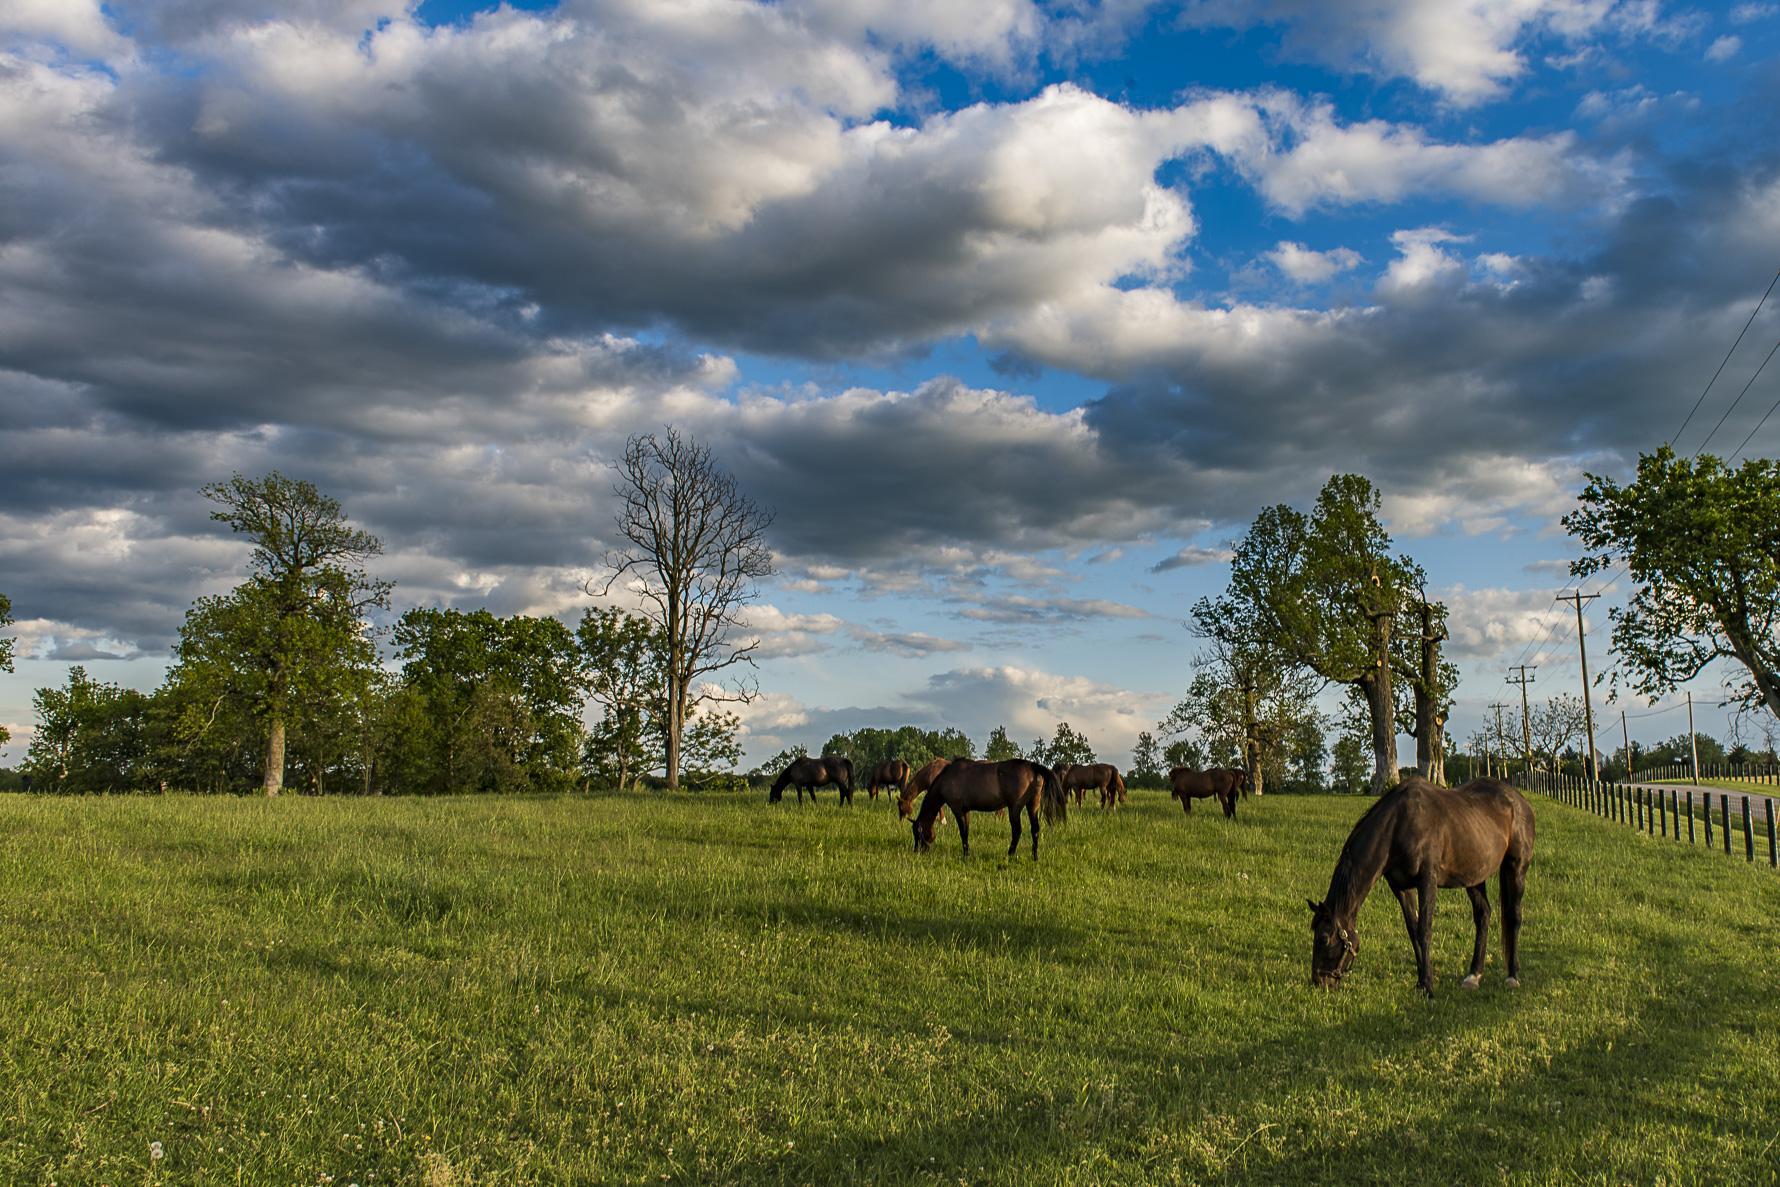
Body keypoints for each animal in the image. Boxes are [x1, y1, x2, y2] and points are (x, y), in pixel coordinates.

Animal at [911, 765, 1060, 857]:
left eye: (918, 833)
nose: (917, 851)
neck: (947, 779)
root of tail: (1031, 766)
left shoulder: (957, 809)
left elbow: (963, 833)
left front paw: (966, 855)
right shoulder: (966, 811)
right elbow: (966, 831)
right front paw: (967, 853)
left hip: (1015, 808)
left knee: (1017, 831)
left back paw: (1010, 855)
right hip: (1032, 805)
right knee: (1035, 829)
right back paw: (1034, 856)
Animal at [1302, 775, 1537, 996]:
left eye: (1324, 938)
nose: (1319, 981)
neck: (1398, 825)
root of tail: (1519, 800)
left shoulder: (1427, 881)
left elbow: (1425, 929)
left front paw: (1428, 986)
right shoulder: (1401, 887)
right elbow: (1413, 929)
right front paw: (1420, 982)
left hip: (1516, 868)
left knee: (1514, 918)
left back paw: (1512, 976)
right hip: (1474, 877)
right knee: (1483, 916)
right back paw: (1473, 976)